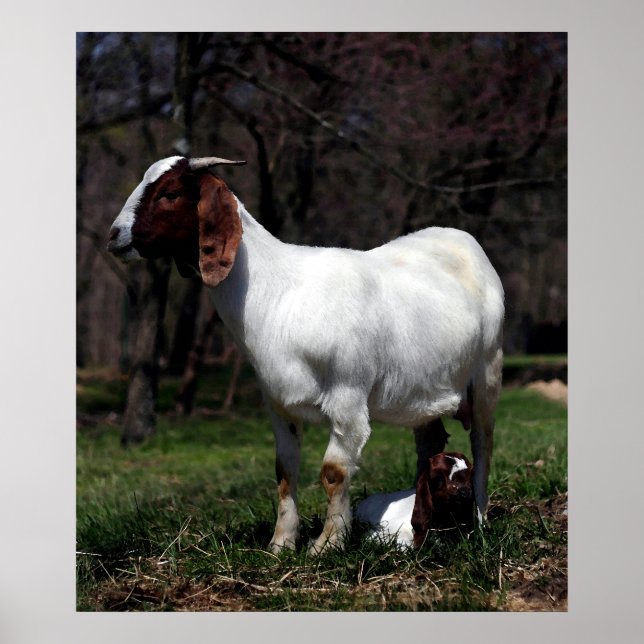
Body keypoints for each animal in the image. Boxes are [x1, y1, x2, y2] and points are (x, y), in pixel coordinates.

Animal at [107, 155, 504, 555]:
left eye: (169, 193)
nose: (114, 235)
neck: (279, 293)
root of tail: (463, 238)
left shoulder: (347, 397)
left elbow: (333, 472)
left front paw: (327, 544)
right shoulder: (278, 402)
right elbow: (285, 470)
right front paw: (281, 543)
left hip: (488, 372)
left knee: (483, 446)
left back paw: (481, 523)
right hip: (421, 393)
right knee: (430, 442)